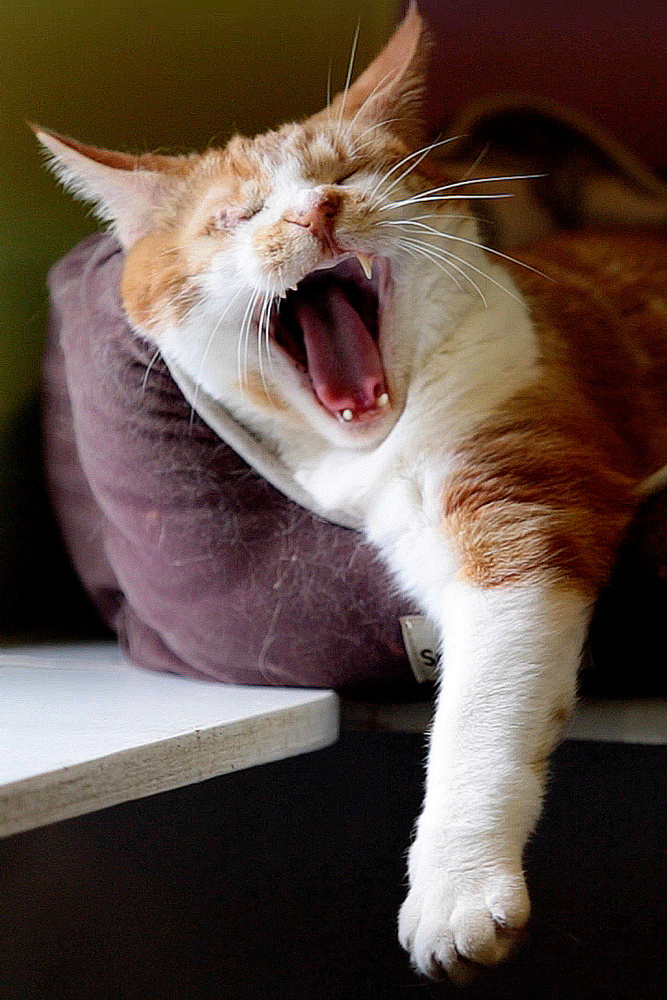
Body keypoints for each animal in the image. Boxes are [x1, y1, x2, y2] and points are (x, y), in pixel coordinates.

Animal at [31, 1, 667, 984]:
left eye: (346, 173)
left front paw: (453, 892)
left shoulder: (526, 502)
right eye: (236, 215)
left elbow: (478, 706)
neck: (373, 447)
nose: (315, 210)